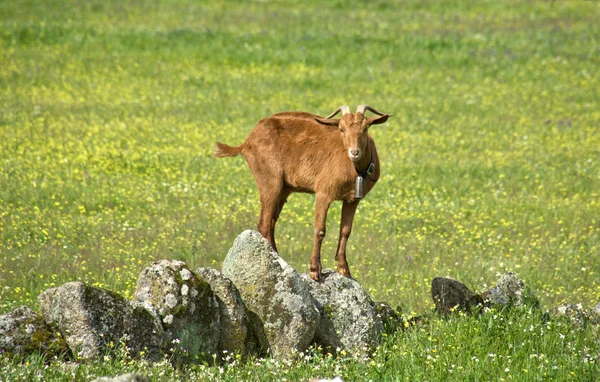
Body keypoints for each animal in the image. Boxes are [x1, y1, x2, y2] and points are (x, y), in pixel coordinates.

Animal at [213, 104, 392, 280]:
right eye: (341, 129)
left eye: (366, 127)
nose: (354, 152)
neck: (356, 170)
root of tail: (247, 142)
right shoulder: (323, 193)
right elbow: (320, 229)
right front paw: (315, 270)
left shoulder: (352, 199)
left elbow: (345, 231)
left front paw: (344, 269)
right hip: (269, 181)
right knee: (264, 222)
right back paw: (276, 262)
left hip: (283, 189)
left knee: (271, 222)